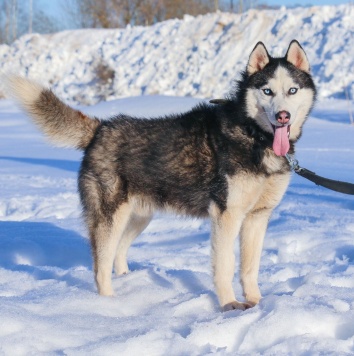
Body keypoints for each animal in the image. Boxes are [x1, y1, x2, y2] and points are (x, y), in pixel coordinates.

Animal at [4, 39, 316, 312]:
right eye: (267, 91)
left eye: (292, 90)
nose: (283, 116)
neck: (254, 136)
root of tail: (101, 128)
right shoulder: (226, 216)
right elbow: (225, 266)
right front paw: (229, 305)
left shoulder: (257, 217)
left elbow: (250, 268)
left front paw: (257, 303)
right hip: (110, 217)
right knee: (100, 267)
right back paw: (108, 305)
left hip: (138, 217)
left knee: (119, 252)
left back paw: (129, 282)